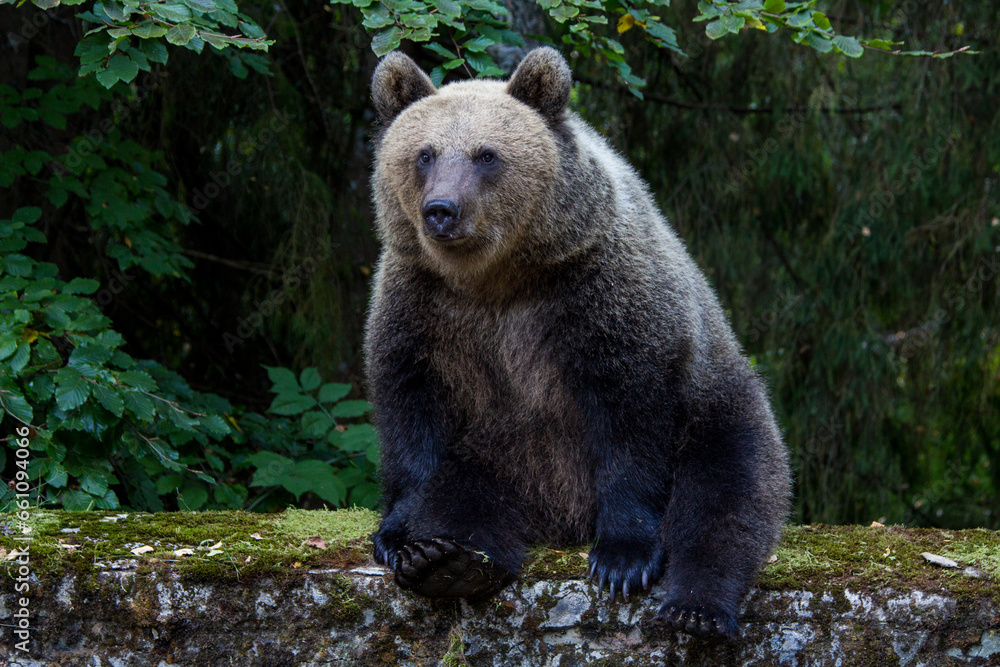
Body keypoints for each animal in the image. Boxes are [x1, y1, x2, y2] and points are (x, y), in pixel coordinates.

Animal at [365, 46, 791, 640]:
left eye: (486, 155)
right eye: (424, 154)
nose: (442, 210)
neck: (496, 278)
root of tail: (558, 518)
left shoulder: (597, 294)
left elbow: (631, 416)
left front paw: (623, 558)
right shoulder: (424, 308)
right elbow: (411, 408)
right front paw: (399, 538)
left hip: (719, 402)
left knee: (726, 491)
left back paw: (696, 607)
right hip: (501, 456)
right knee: (462, 494)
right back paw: (449, 562)